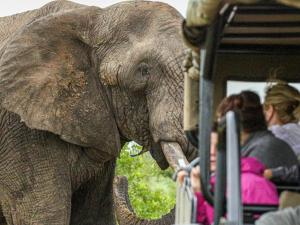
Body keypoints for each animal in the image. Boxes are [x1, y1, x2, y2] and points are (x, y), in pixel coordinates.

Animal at [0, 0, 197, 225]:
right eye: (143, 71)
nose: (121, 179)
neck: (96, 18)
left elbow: (92, 216)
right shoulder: (22, 132)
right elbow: (44, 215)